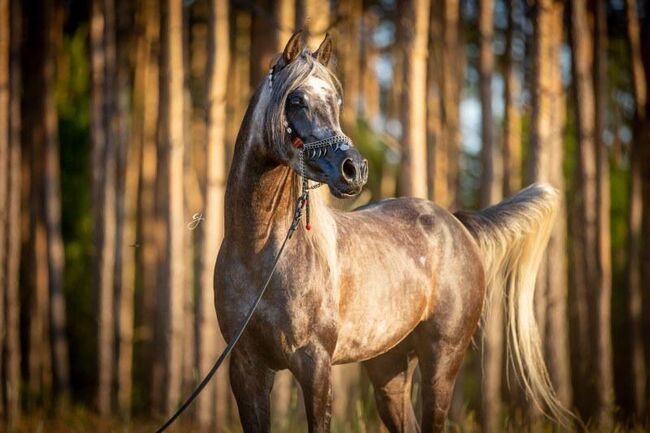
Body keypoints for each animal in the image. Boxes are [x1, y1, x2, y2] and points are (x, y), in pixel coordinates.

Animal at [215, 33, 568, 432]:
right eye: (296, 100)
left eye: (336, 100)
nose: (354, 169)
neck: (261, 254)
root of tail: (457, 224)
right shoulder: (246, 369)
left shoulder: (315, 366)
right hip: (389, 367)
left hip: (442, 362)